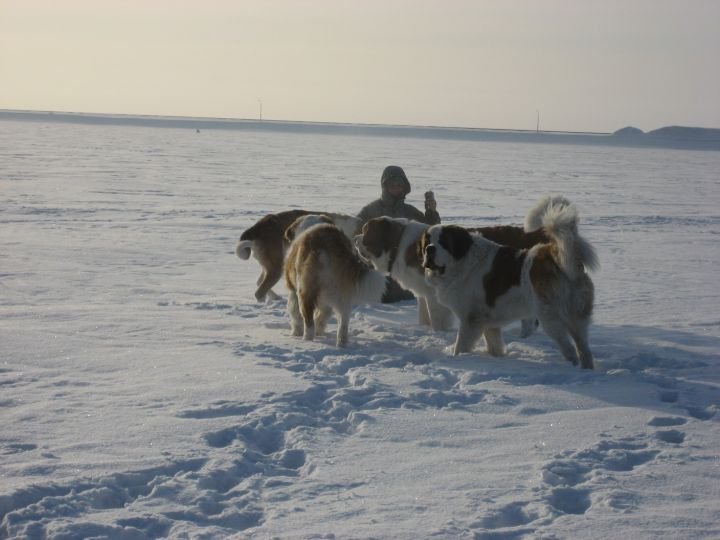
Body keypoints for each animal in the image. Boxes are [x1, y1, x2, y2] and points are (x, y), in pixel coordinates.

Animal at [282, 217, 388, 348]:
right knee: (343, 320)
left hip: (305, 290)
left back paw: (307, 340)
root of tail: (327, 238)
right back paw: (341, 343)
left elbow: (295, 313)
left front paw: (296, 333)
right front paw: (319, 332)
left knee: (308, 319)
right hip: (341, 289)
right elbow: (322, 315)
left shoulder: (293, 291)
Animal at [420, 196, 600, 370]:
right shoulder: (488, 322)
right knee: (584, 350)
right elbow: (494, 344)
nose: (430, 248)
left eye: (444, 242)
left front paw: (458, 359)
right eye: (427, 241)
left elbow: (461, 345)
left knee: (569, 350)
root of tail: (561, 260)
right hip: (577, 319)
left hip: (552, 319)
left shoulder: (470, 319)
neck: (462, 260)